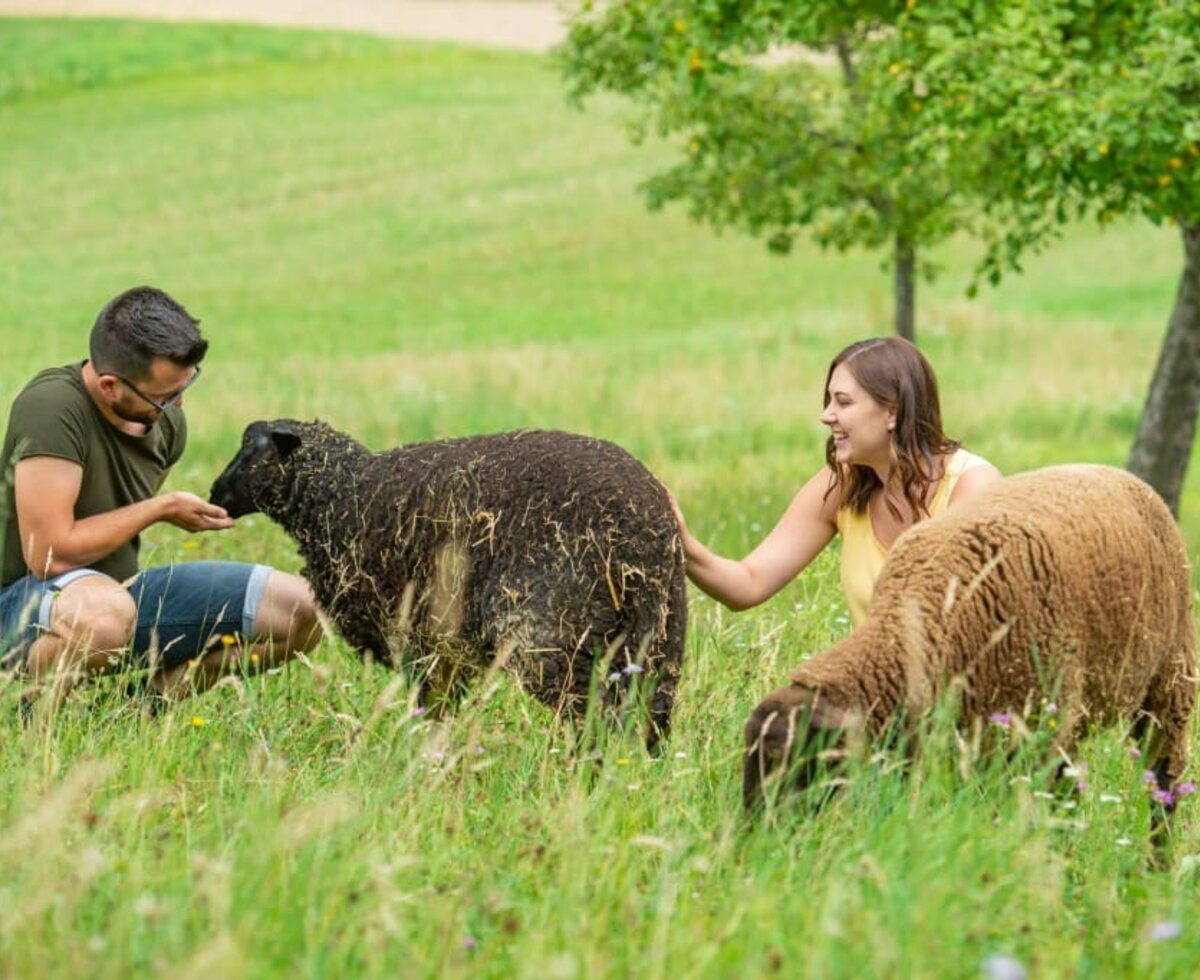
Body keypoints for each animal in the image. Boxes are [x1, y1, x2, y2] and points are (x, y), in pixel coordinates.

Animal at [211, 417, 691, 743]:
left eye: (250, 449)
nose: (215, 493)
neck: (345, 497)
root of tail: (648, 526)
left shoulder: (413, 637)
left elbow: (427, 709)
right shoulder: (444, 650)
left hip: (551, 636)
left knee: (593, 718)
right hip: (660, 635)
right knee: (650, 719)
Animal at [744, 465, 1195, 810]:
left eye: (785, 757)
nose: (754, 837)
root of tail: (1128, 478)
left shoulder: (1035, 730)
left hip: (1170, 684)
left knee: (1164, 782)